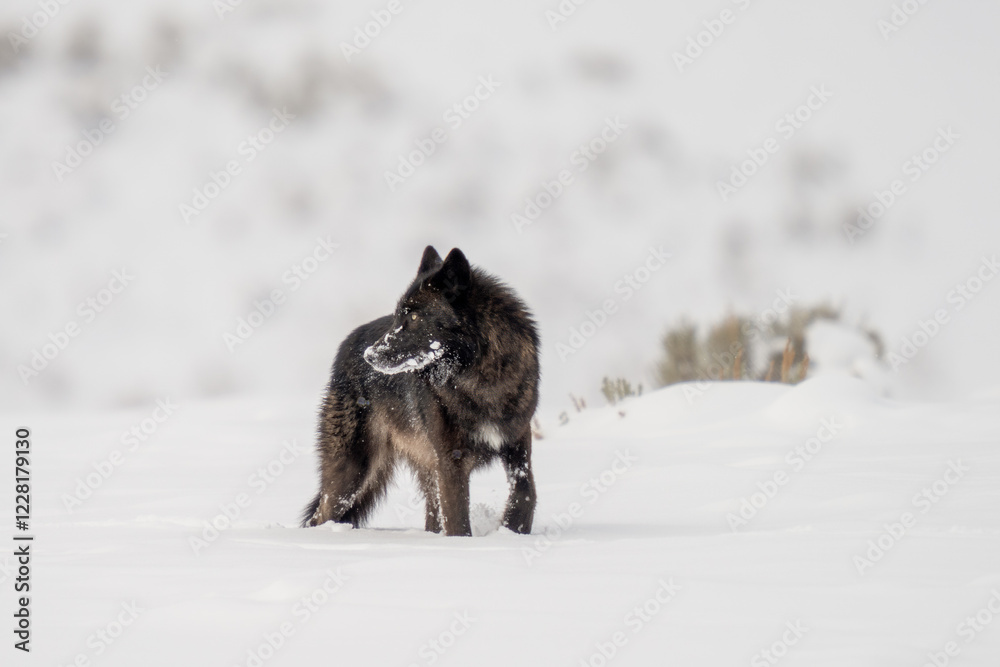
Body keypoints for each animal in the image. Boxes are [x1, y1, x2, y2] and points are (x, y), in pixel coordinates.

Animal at [301, 246, 539, 536]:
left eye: (414, 317)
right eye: (396, 317)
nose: (370, 355)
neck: (479, 380)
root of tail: (346, 346)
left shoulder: (518, 441)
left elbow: (526, 491)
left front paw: (513, 529)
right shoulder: (451, 462)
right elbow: (458, 520)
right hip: (353, 470)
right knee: (320, 516)